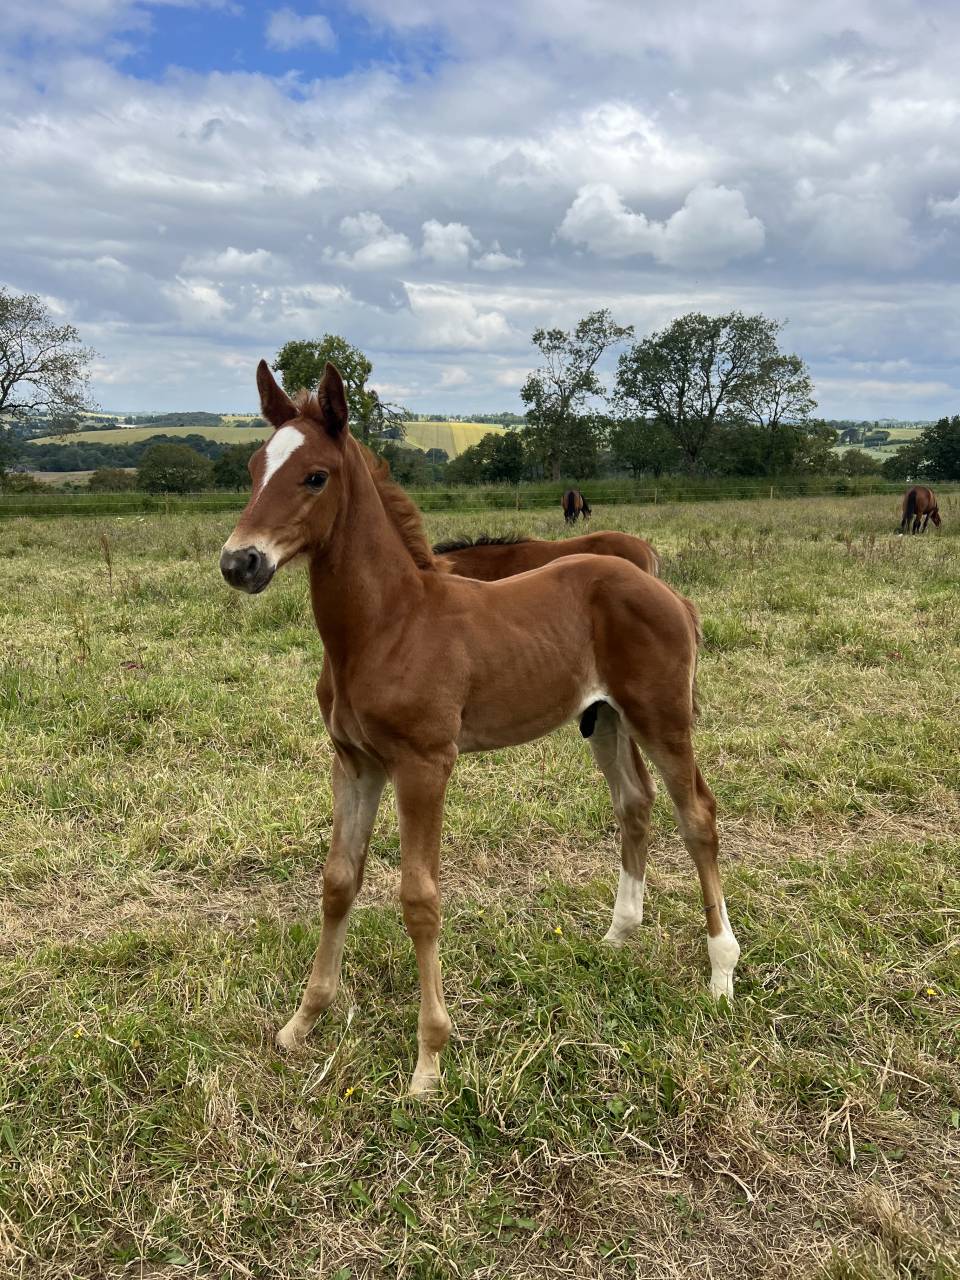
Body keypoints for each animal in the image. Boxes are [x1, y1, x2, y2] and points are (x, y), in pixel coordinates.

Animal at [220, 361, 739, 1096]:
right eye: (254, 467)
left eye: (315, 476)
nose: (240, 563)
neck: (388, 624)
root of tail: (667, 591)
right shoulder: (354, 762)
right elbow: (338, 881)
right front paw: (303, 1022)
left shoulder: (425, 764)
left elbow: (419, 898)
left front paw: (428, 1062)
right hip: (606, 720)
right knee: (633, 805)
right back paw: (619, 935)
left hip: (661, 716)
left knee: (696, 814)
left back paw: (721, 971)